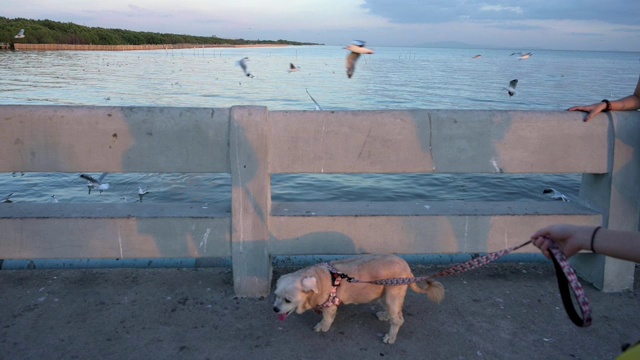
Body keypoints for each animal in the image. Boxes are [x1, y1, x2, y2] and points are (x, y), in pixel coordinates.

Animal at [272, 253, 444, 344]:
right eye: (276, 295)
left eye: (288, 300)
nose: (275, 309)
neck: (318, 280)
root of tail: (407, 269)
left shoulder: (330, 305)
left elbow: (327, 318)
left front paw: (322, 326)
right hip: (385, 294)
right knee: (394, 311)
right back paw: (385, 315)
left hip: (392, 294)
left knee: (398, 319)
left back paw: (391, 336)